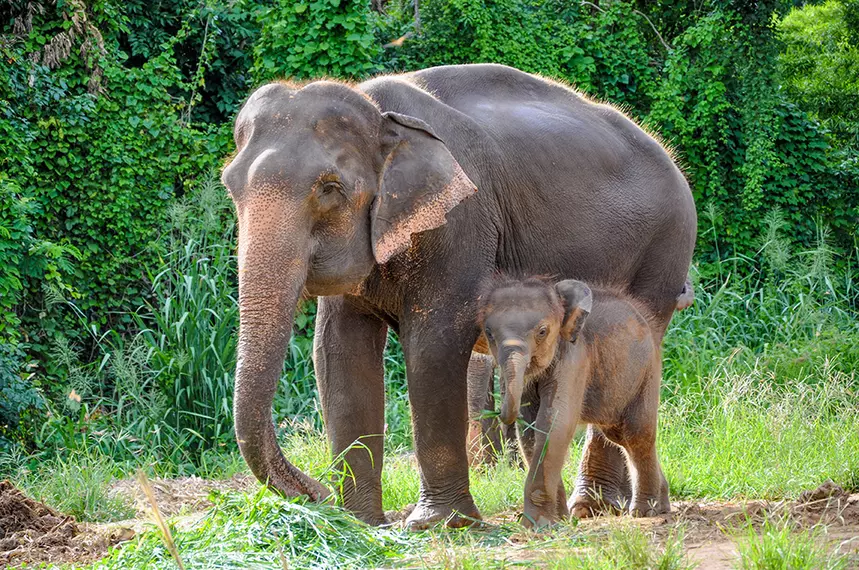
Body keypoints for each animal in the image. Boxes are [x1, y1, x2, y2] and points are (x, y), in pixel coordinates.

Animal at [478, 274, 672, 524]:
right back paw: (662, 506)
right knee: (618, 436)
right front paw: (560, 519)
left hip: (646, 371)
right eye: (489, 333)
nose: (500, 414)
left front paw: (537, 525)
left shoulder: (574, 358)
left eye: (542, 331)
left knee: (637, 434)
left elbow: (555, 423)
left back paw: (644, 512)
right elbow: (530, 431)